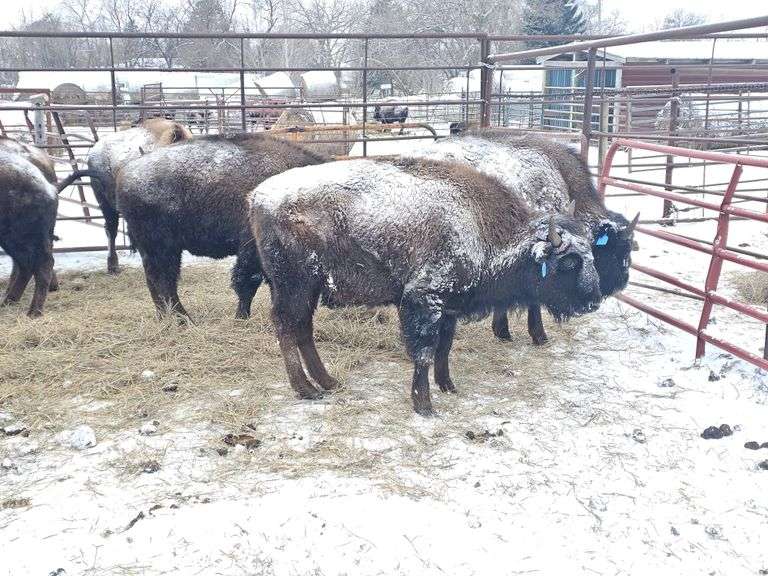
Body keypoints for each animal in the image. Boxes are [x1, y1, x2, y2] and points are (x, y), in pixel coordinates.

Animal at [115, 132, 328, 320]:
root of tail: (125, 173)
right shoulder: (251, 251)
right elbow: (247, 283)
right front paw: (242, 317)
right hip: (161, 248)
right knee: (163, 279)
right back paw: (182, 319)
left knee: (160, 281)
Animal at [250, 157, 603, 416]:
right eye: (569, 262)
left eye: (591, 252)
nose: (594, 302)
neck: (480, 225)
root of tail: (258, 197)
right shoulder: (423, 301)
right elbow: (423, 352)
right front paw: (424, 405)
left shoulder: (449, 308)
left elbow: (443, 348)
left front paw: (448, 386)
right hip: (293, 285)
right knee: (286, 326)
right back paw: (306, 389)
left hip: (306, 289)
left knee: (302, 328)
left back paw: (327, 381)